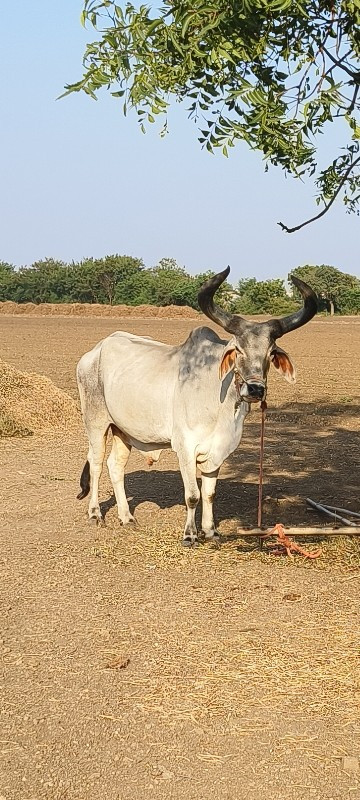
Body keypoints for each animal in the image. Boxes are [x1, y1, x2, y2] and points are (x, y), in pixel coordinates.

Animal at [77, 268, 316, 544]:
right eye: (238, 350)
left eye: (271, 353)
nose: (255, 389)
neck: (220, 406)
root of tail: (94, 352)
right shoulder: (185, 447)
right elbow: (192, 495)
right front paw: (190, 534)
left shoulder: (218, 452)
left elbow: (209, 494)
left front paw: (210, 531)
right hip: (96, 423)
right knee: (96, 464)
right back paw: (95, 514)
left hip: (122, 431)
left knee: (115, 467)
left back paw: (127, 517)